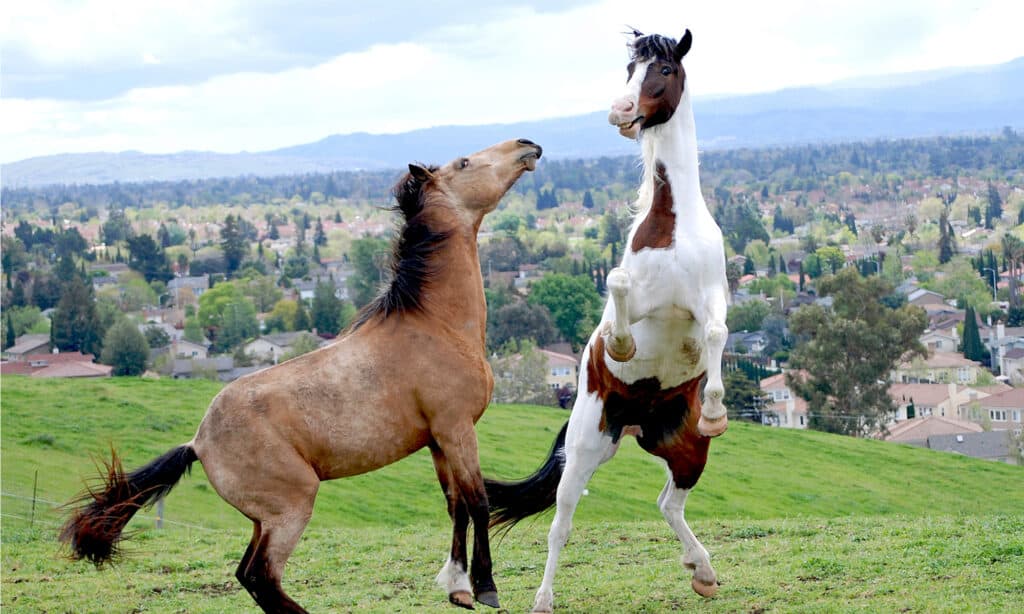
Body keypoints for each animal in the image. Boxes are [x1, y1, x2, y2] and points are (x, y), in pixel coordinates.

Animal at [60, 139, 544, 614]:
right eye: (464, 163)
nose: (527, 146)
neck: (436, 325)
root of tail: (197, 442)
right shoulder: (457, 429)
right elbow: (479, 503)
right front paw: (486, 588)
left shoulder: (438, 440)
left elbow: (455, 506)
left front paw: (458, 589)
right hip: (290, 508)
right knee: (261, 575)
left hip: (263, 519)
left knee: (248, 575)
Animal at [485, 31, 733, 609]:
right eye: (628, 68)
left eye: (663, 68)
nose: (620, 111)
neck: (670, 227)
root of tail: (636, 421)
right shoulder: (637, 302)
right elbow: (617, 289)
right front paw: (619, 348)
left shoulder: (712, 297)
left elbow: (716, 333)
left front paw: (716, 409)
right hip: (584, 448)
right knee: (561, 523)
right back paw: (543, 599)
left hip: (685, 450)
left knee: (668, 503)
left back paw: (703, 570)